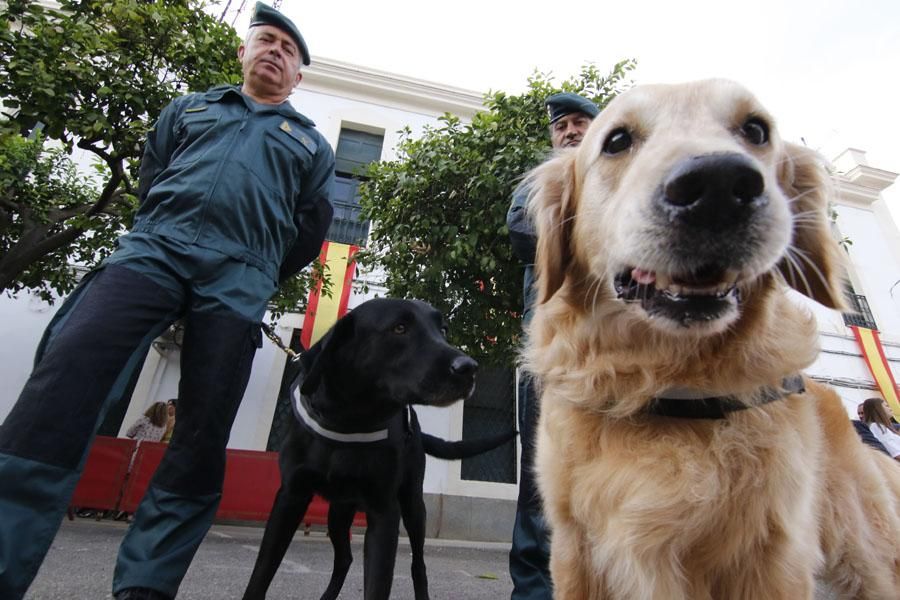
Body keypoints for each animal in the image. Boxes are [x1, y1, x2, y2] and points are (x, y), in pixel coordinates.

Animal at [243, 298, 516, 596]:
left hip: (413, 506)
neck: (349, 421)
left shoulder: (385, 512)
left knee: (418, 567)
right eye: (399, 328)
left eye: (443, 329)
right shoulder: (291, 496)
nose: (469, 367)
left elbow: (378, 584)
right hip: (339, 512)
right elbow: (261, 572)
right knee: (344, 558)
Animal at [524, 81, 900, 600]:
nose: (719, 185)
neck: (669, 386)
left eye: (756, 130)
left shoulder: (772, 556)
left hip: (864, 558)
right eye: (617, 141)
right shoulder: (575, 549)